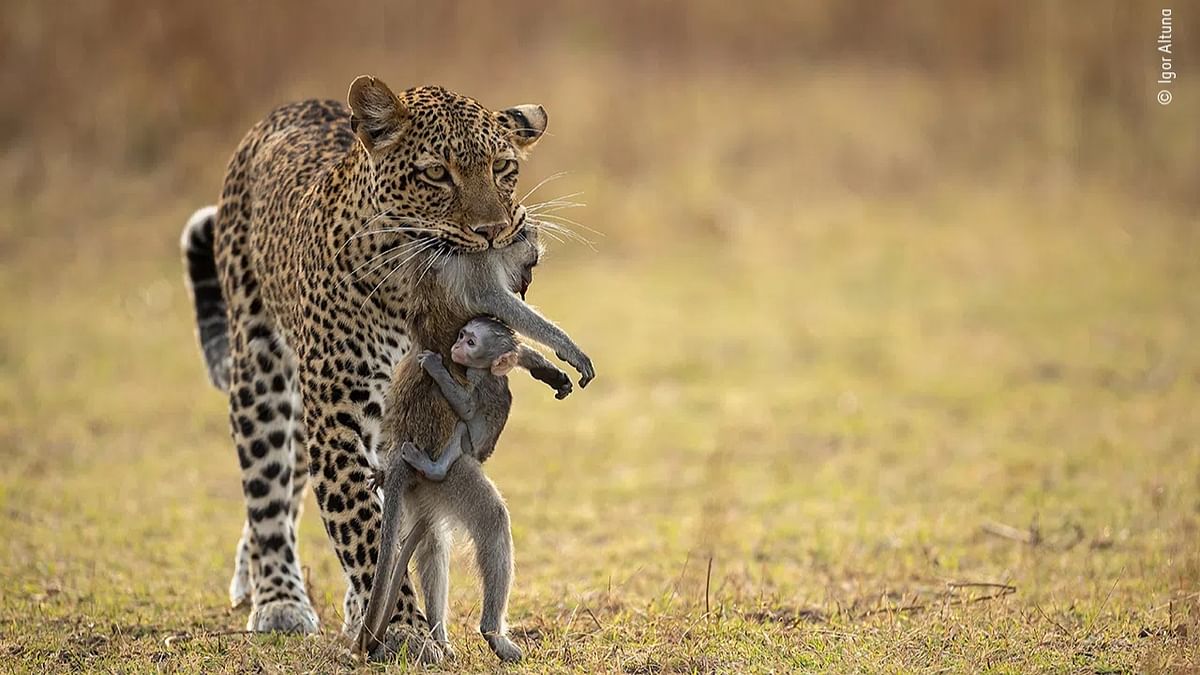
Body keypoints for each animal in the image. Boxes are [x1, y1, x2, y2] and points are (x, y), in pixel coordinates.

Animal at [396, 314, 559, 478]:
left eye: (470, 343)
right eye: (461, 335)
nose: (457, 346)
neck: (487, 369)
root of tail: (481, 458)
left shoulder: (476, 375)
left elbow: (467, 408)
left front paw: (434, 365)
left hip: (469, 448)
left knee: (461, 427)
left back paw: (434, 470)